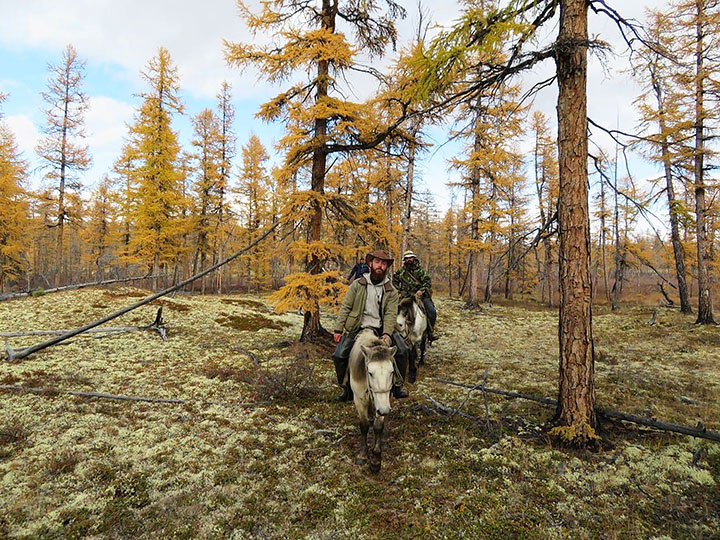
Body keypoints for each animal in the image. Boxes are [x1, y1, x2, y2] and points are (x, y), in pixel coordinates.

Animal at [348, 326, 400, 470]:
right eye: (370, 373)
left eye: (392, 371)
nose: (384, 410)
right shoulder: (359, 400)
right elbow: (364, 426)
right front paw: (363, 454)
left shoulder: (383, 401)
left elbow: (378, 426)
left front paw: (376, 457)